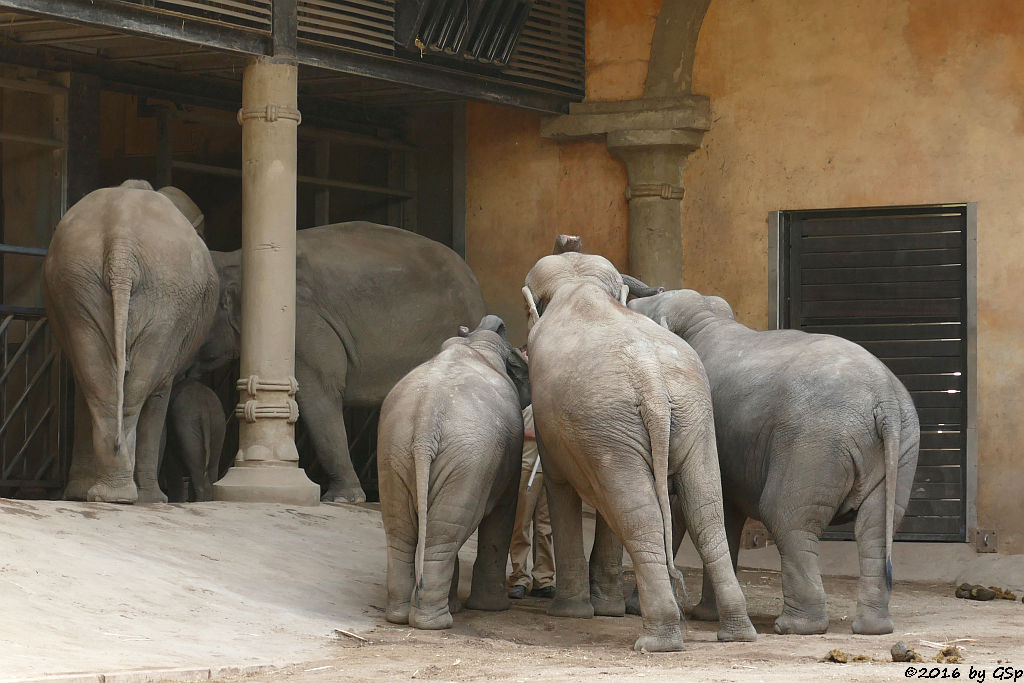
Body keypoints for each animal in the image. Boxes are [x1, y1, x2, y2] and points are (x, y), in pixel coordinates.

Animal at [44, 179, 218, 505]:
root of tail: (121, 243)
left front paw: (78, 493)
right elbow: (160, 393)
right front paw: (154, 499)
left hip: (78, 285)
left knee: (98, 382)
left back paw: (105, 494)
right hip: (163, 297)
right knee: (138, 387)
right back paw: (133, 496)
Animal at [380, 315, 532, 630]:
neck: (475, 343)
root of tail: (426, 418)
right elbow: (504, 511)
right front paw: (493, 609)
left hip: (394, 450)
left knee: (405, 533)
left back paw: (402, 616)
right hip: (467, 461)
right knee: (443, 536)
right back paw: (435, 622)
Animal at [524, 242, 757, 655]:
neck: (579, 287)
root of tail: (651, 381)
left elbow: (562, 488)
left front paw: (573, 613)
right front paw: (605, 609)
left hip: (614, 419)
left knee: (639, 514)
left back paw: (657, 640)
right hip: (690, 414)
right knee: (705, 509)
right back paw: (736, 632)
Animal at [626, 288, 925, 634]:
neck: (705, 319)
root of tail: (884, 398)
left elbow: (678, 509)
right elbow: (723, 514)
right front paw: (706, 615)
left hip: (814, 441)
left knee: (786, 515)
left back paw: (793, 626)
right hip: (901, 447)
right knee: (875, 526)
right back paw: (871, 628)